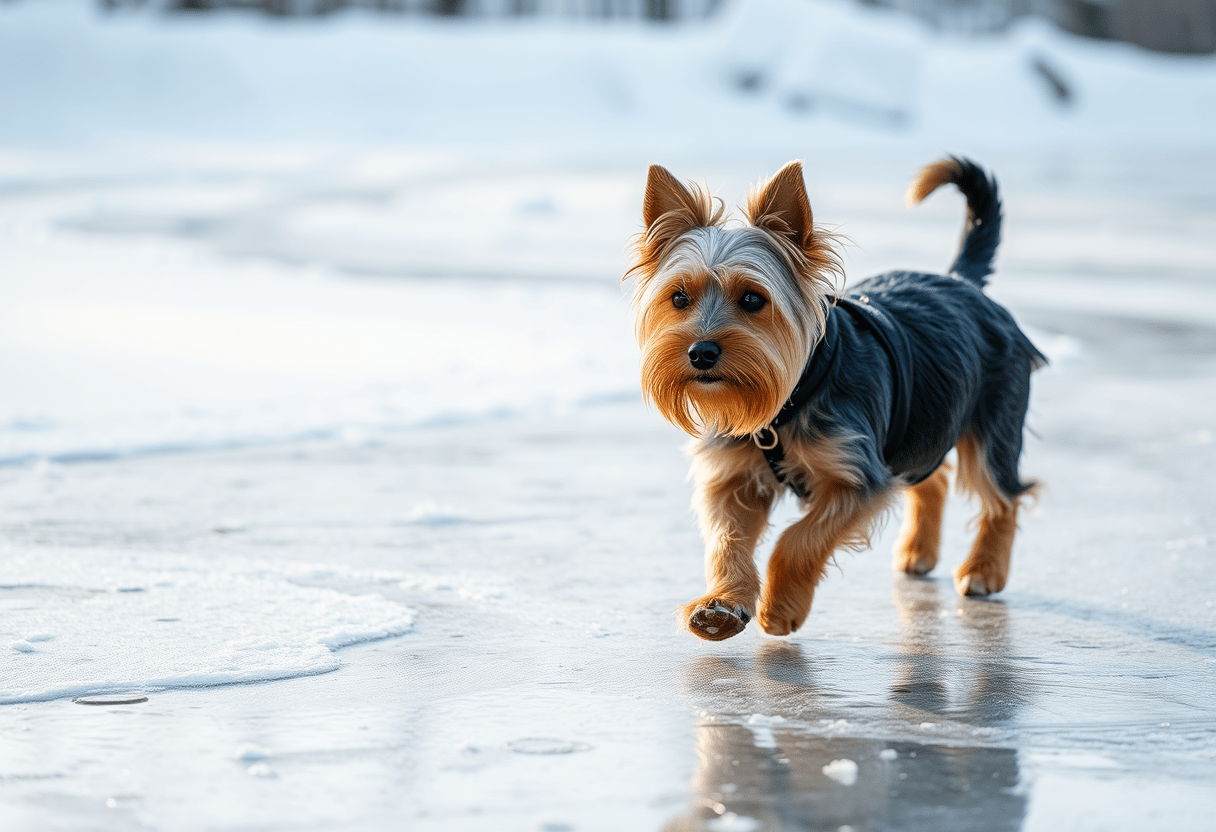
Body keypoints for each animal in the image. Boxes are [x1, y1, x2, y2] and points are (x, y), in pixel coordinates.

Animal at [627, 158, 1045, 642]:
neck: (785, 406)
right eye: (679, 297)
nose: (700, 352)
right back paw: (919, 551)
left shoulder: (856, 479)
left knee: (1001, 492)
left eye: (752, 298)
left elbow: (798, 539)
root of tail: (962, 282)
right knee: (932, 477)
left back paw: (984, 570)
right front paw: (723, 605)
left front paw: (780, 607)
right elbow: (727, 540)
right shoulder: (734, 476)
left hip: (994, 416)